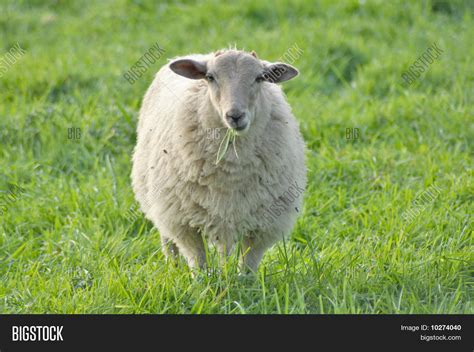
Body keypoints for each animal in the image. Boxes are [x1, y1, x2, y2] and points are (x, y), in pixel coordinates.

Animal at [131, 48, 308, 272]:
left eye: (260, 78)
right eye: (210, 77)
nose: (235, 115)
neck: (231, 169)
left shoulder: (263, 224)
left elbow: (248, 265)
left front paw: (243, 280)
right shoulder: (183, 222)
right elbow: (198, 262)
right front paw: (202, 280)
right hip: (160, 201)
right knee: (168, 243)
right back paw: (174, 269)